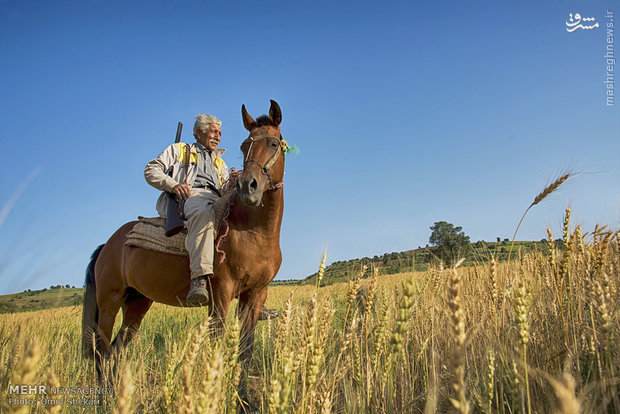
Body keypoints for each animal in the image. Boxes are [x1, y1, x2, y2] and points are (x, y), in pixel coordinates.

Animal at [81, 98, 286, 402]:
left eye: (273, 143)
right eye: (243, 146)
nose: (247, 187)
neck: (253, 232)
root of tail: (108, 245)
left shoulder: (256, 294)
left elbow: (245, 350)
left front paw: (243, 399)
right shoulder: (220, 294)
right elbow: (217, 347)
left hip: (137, 304)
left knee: (116, 350)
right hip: (109, 301)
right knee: (102, 353)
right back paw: (104, 400)